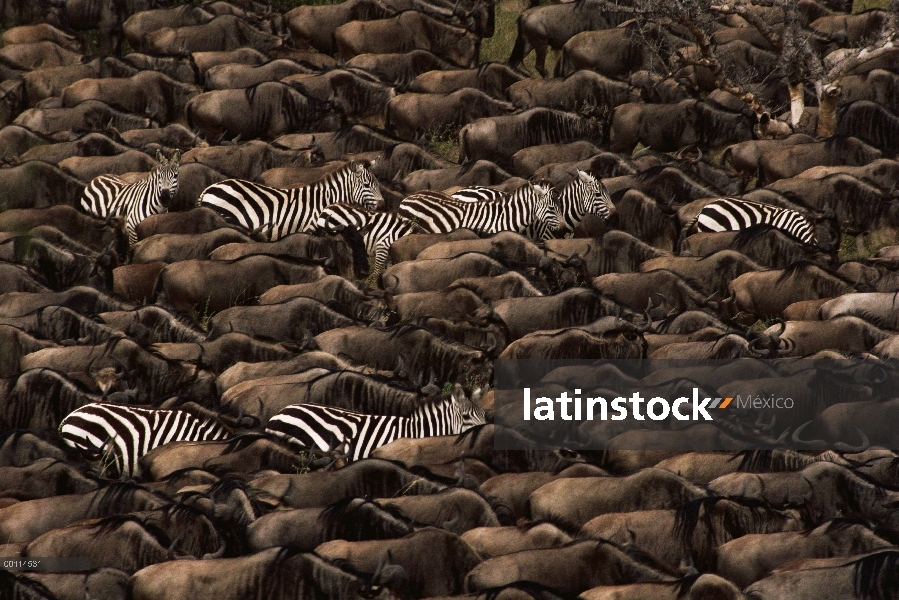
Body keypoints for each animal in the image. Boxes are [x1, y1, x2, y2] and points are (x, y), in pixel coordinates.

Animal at [200, 162, 384, 244]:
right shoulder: (310, 229)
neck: (323, 202)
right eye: (366, 185)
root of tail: (207, 190)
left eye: (377, 184)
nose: (383, 205)